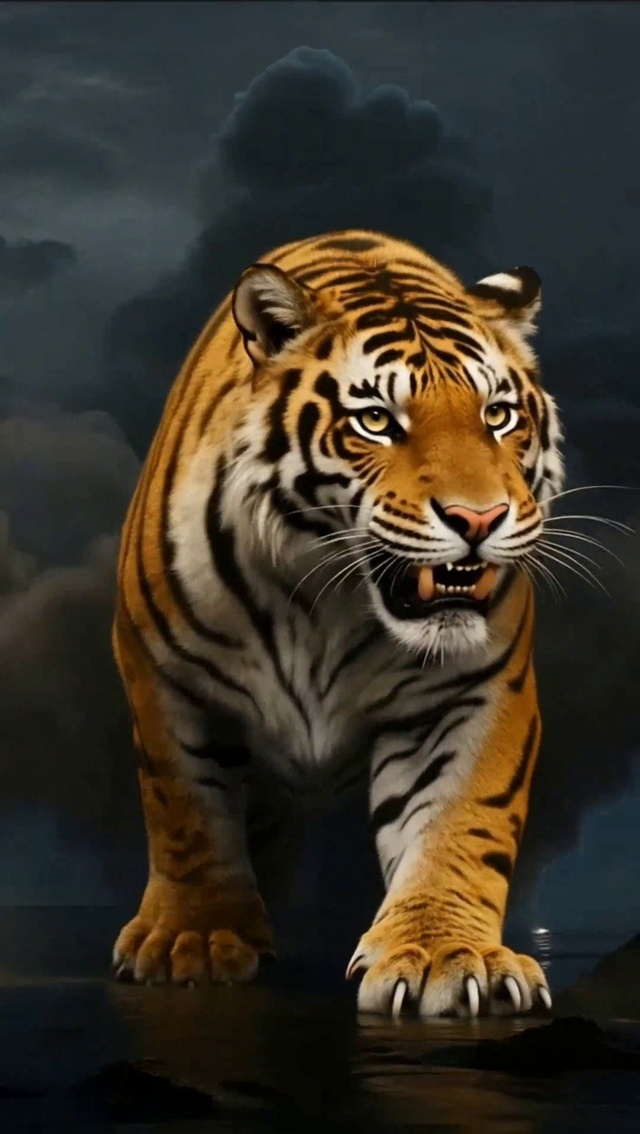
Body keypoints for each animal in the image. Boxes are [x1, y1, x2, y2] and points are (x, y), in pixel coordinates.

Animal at [112, 228, 564, 1018]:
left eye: (498, 415)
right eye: (376, 420)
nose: (478, 519)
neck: (326, 599)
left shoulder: (476, 689)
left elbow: (460, 820)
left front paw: (446, 953)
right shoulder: (161, 674)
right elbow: (185, 809)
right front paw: (192, 938)